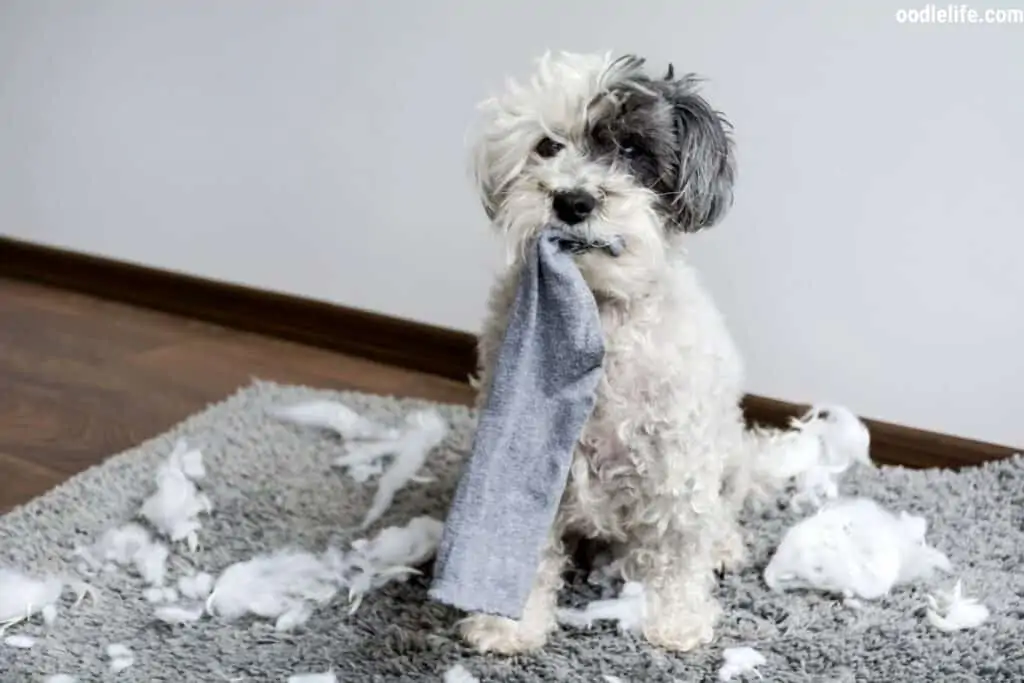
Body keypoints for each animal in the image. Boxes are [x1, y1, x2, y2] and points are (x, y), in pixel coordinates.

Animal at [460, 52, 811, 655]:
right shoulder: (532, 452)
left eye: (630, 149)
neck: (598, 313)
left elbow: (678, 546)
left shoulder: (678, 458)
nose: (573, 200)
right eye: (547, 146)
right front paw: (507, 626)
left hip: (727, 455)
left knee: (721, 513)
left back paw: (723, 547)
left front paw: (675, 622)